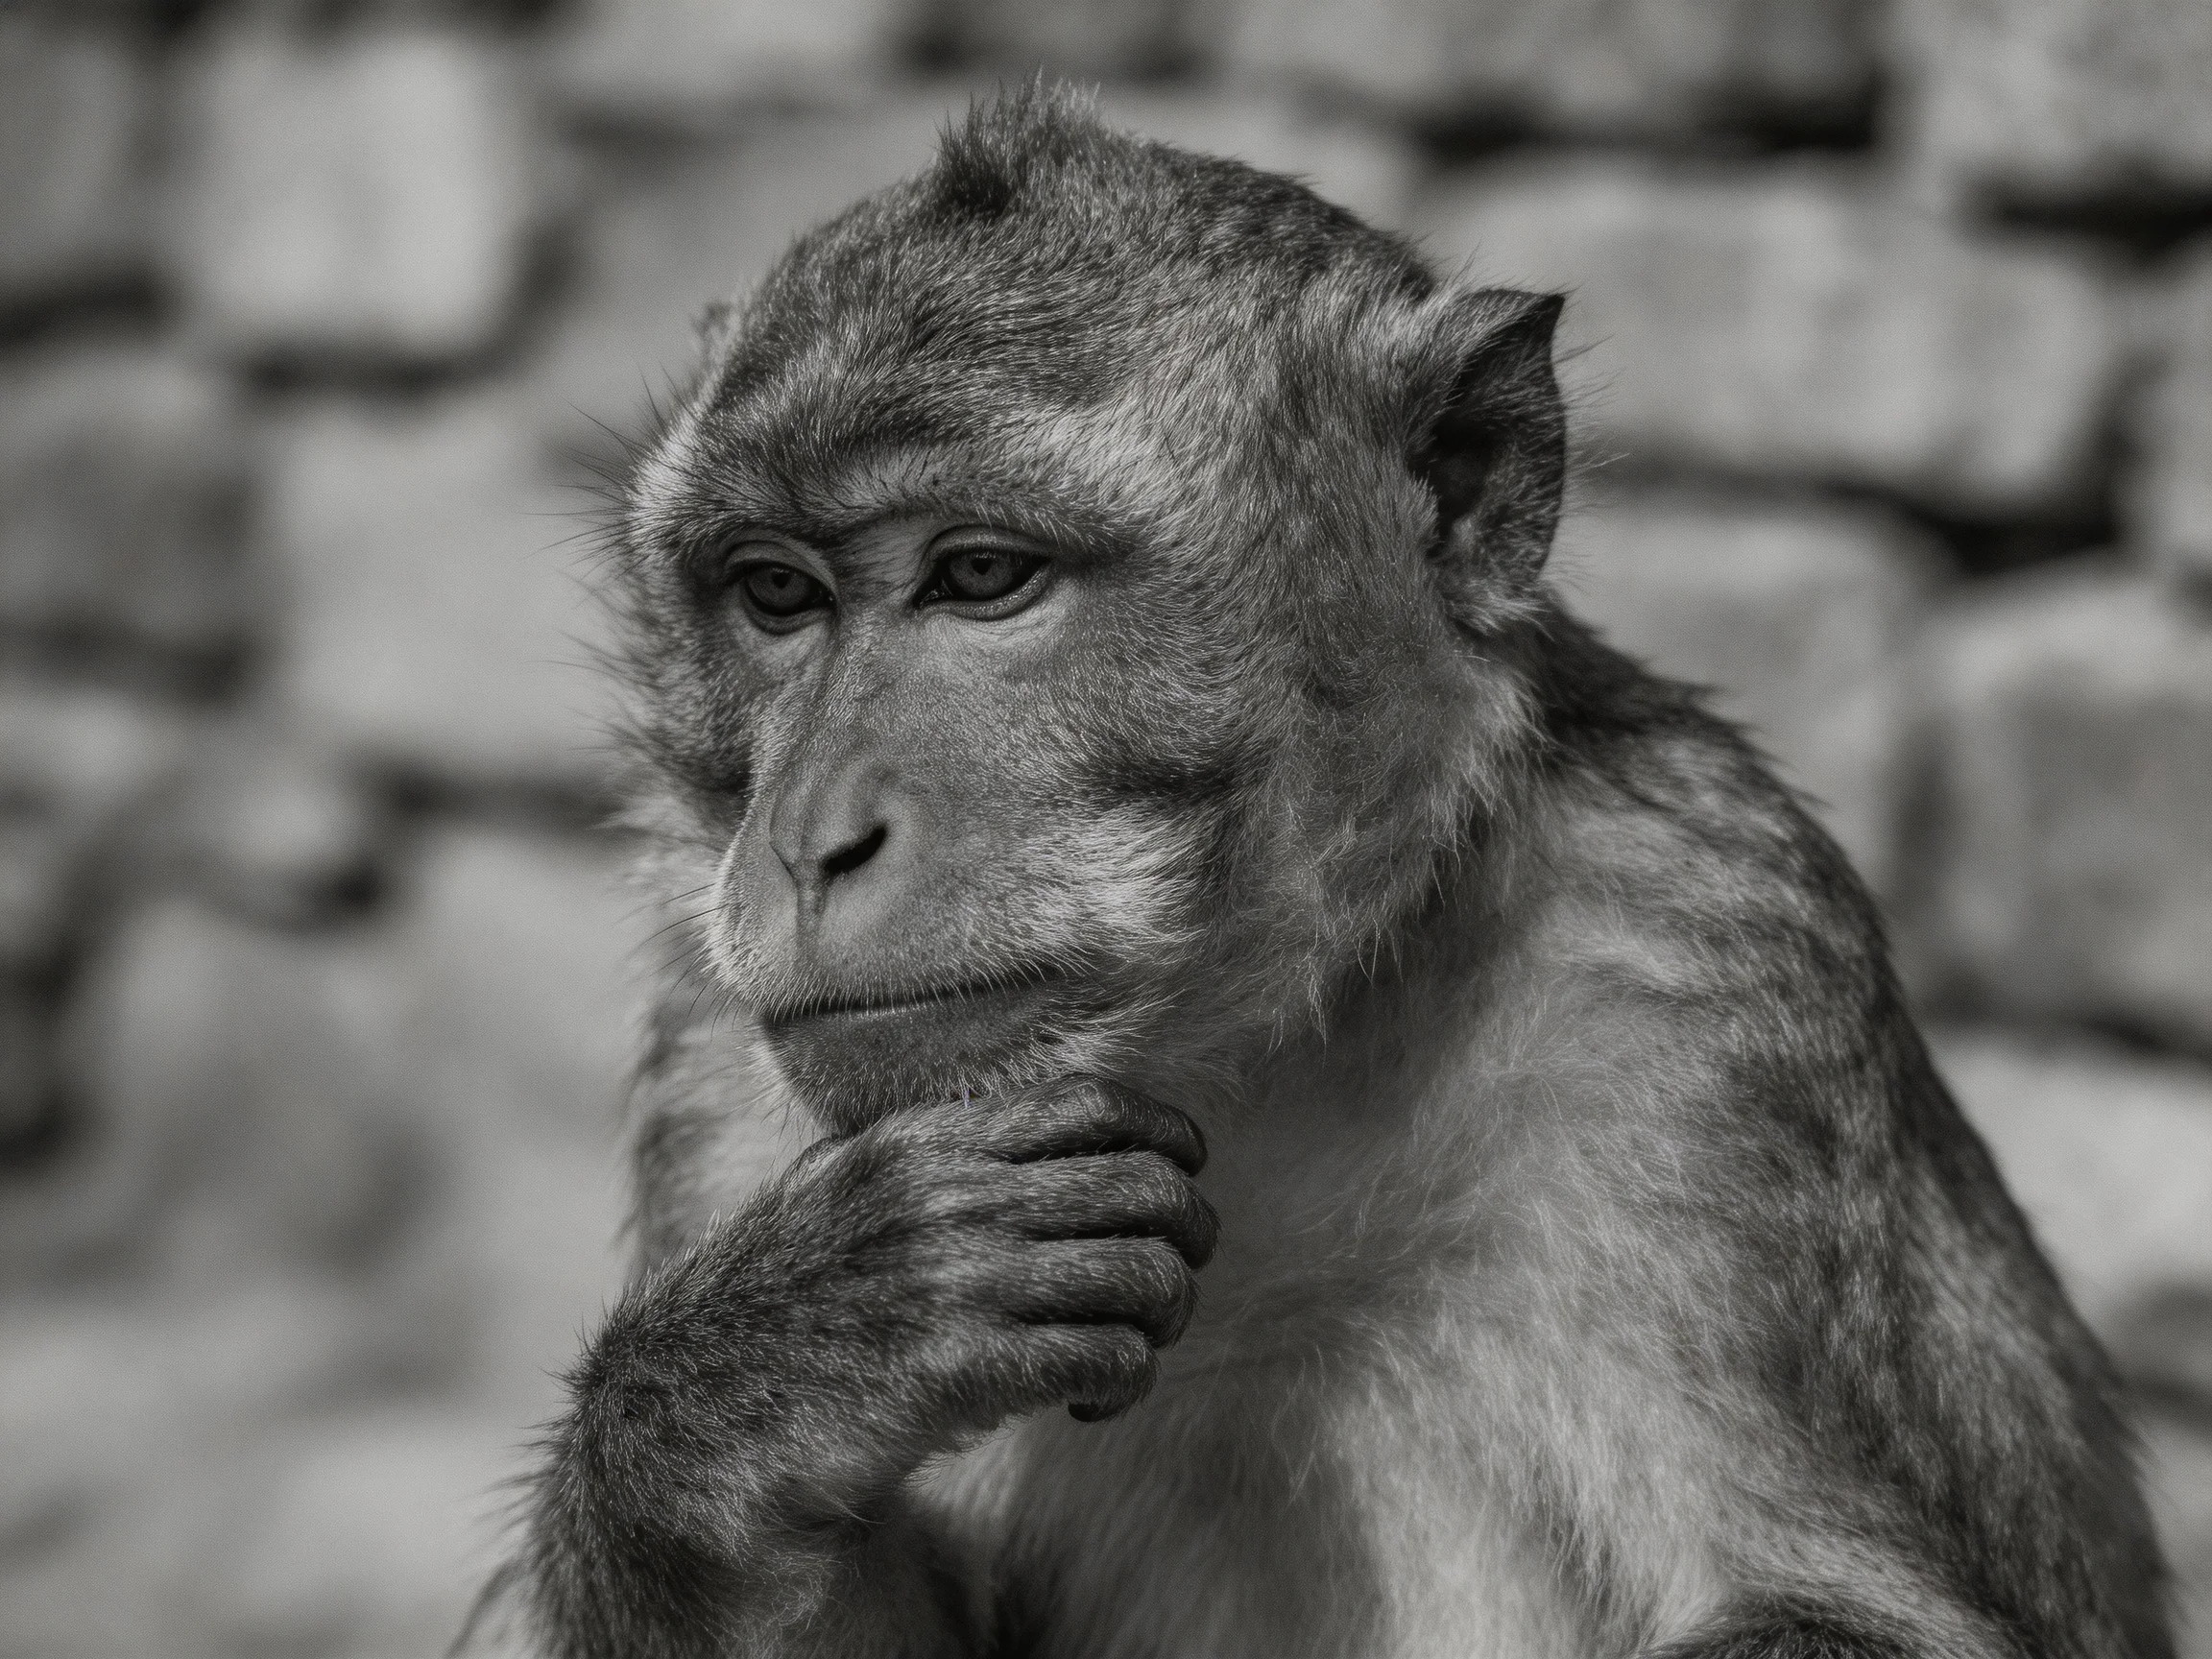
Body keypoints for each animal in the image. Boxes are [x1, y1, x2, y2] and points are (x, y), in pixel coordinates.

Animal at [469, 87, 2174, 1659]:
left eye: (980, 576)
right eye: (775, 594)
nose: (811, 840)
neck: (1254, 1060)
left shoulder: (1712, 966)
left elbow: (1847, 1611)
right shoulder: (715, 1048)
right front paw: (749, 1403)